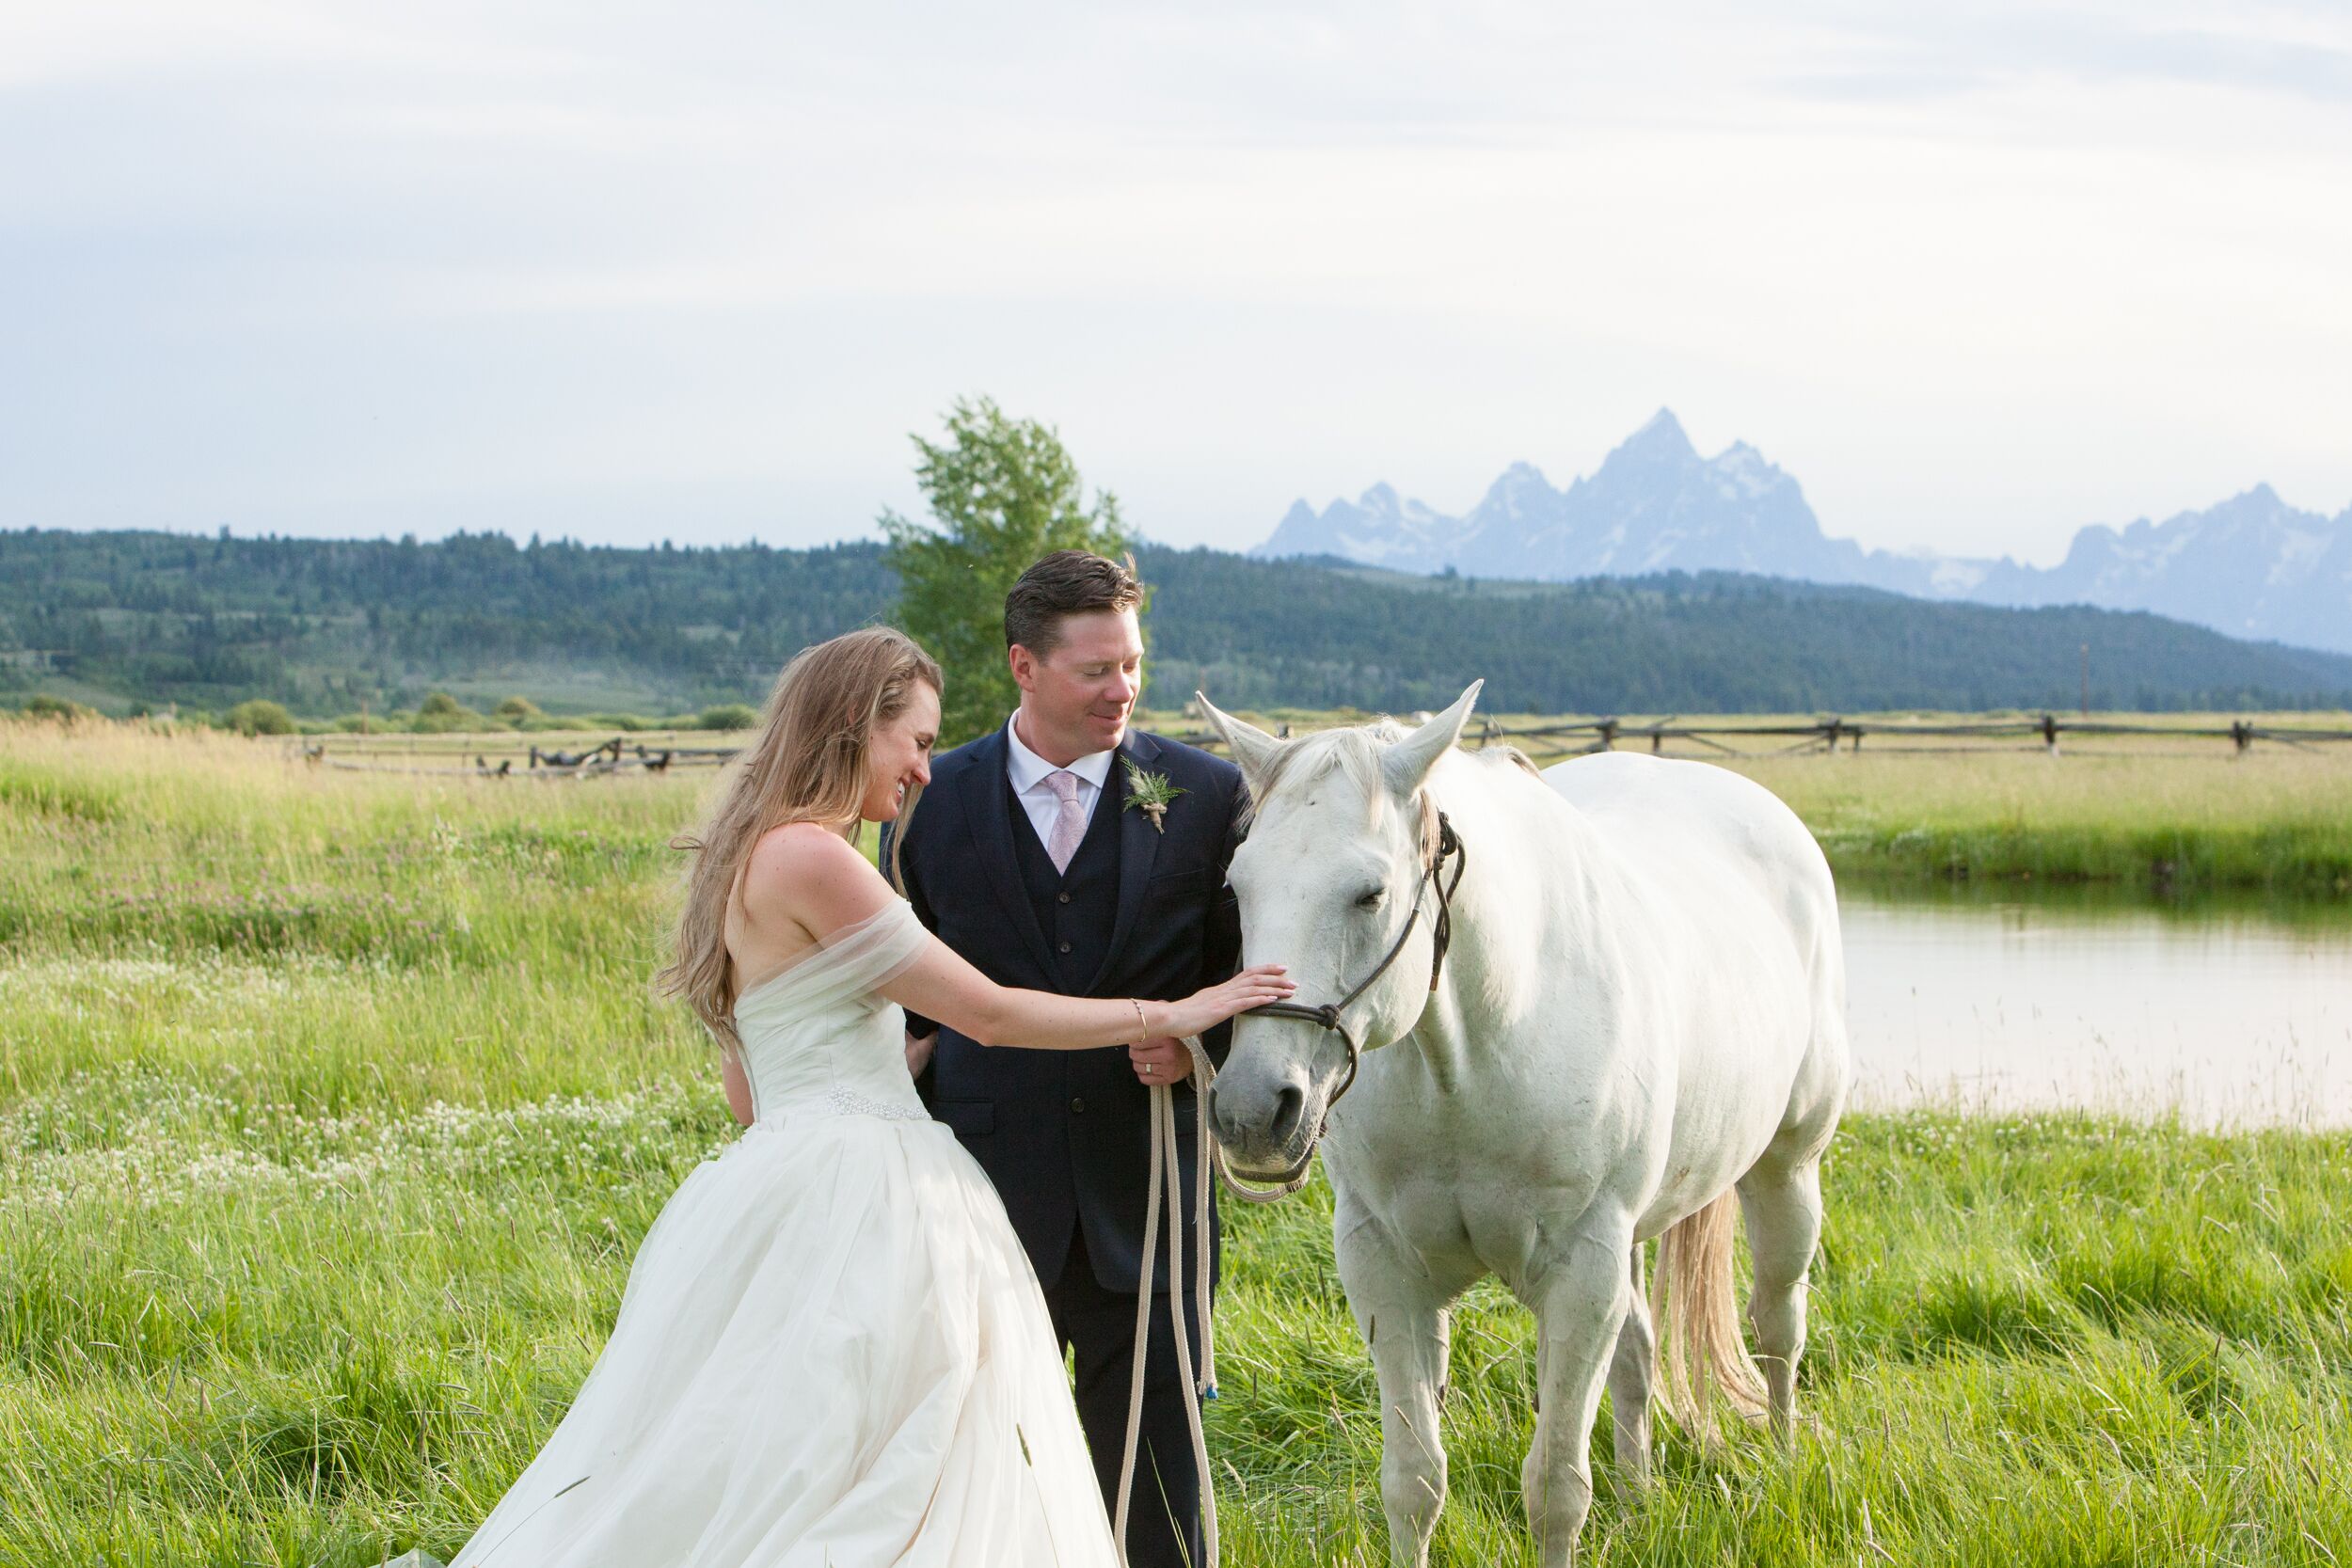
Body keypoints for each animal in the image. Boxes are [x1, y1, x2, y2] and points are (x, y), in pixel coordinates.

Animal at [1204, 686, 1844, 1568]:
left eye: (1369, 893)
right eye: (1239, 887)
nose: (1253, 1111)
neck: (1477, 1051)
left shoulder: (1580, 1271)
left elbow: (1554, 1489)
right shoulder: (1386, 1268)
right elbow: (1413, 1480)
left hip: (1786, 1170)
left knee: (1778, 1325)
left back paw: (1781, 1458)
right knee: (1640, 1354)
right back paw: (1638, 1502)